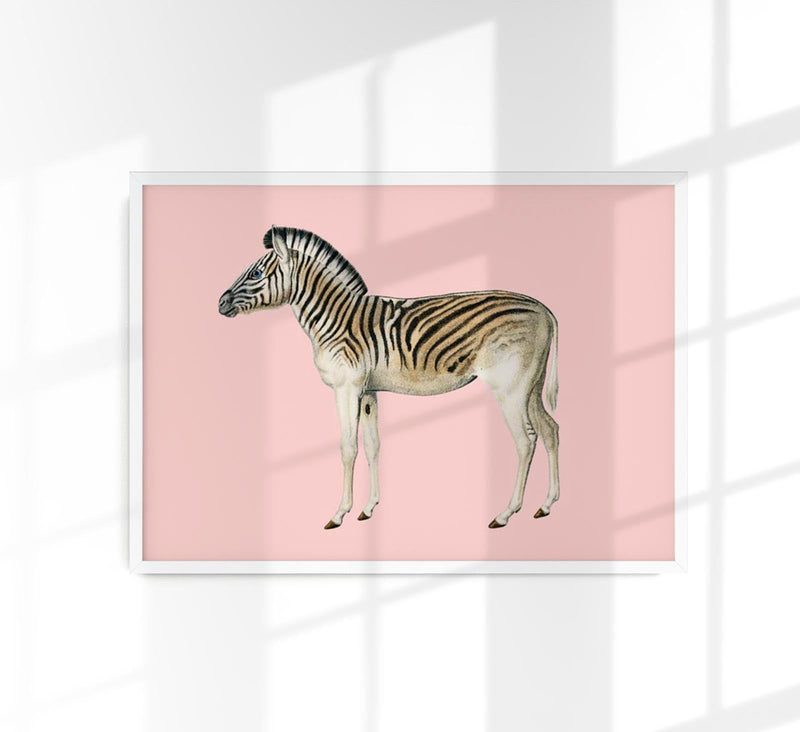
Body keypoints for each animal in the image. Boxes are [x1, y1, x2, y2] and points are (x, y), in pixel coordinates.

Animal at [218, 226, 560, 530]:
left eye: (255, 274)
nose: (220, 302)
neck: (336, 320)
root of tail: (544, 309)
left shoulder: (346, 387)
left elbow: (348, 448)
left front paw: (339, 514)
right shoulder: (368, 391)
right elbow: (373, 446)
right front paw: (368, 508)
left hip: (510, 388)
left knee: (526, 440)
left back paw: (506, 514)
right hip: (530, 385)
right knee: (550, 429)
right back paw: (546, 505)